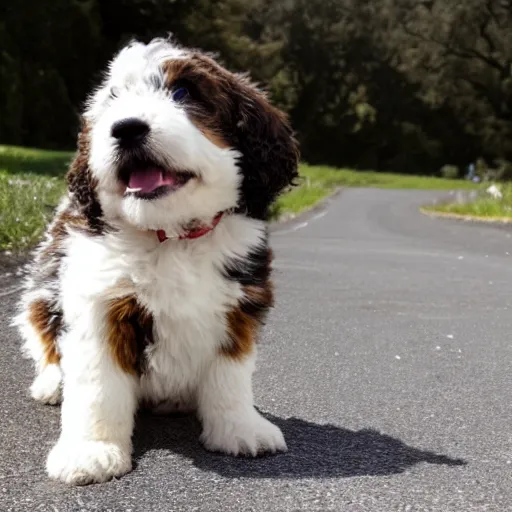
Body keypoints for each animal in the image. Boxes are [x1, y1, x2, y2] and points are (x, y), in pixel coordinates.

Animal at [14, 39, 298, 484]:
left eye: (183, 92)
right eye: (114, 99)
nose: (126, 128)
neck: (170, 235)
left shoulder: (239, 302)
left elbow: (231, 375)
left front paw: (240, 427)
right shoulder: (98, 302)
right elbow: (98, 384)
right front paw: (91, 450)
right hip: (40, 293)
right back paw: (52, 383)